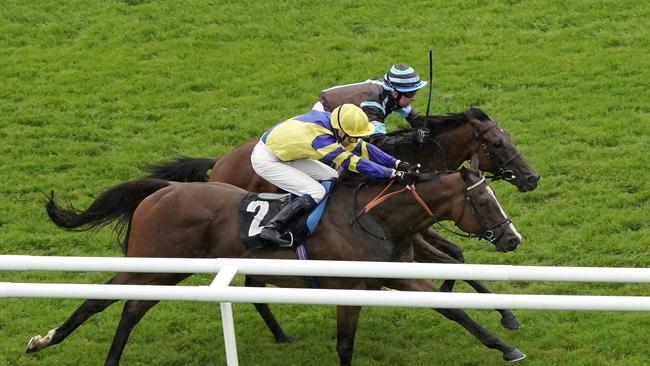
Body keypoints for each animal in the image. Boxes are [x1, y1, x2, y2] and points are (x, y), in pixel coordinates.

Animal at [27, 169, 528, 366]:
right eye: (485, 201)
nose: (512, 239)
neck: (375, 217)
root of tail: (162, 189)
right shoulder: (350, 287)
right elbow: (345, 344)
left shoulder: (392, 278)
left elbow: (453, 310)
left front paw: (506, 346)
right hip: (152, 260)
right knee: (99, 300)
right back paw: (46, 340)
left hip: (172, 269)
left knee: (131, 309)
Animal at [146, 107, 536, 328]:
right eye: (497, 144)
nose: (532, 178)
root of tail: (220, 161)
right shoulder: (414, 232)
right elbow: (453, 259)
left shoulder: (417, 230)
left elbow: (456, 256)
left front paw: (502, 313)